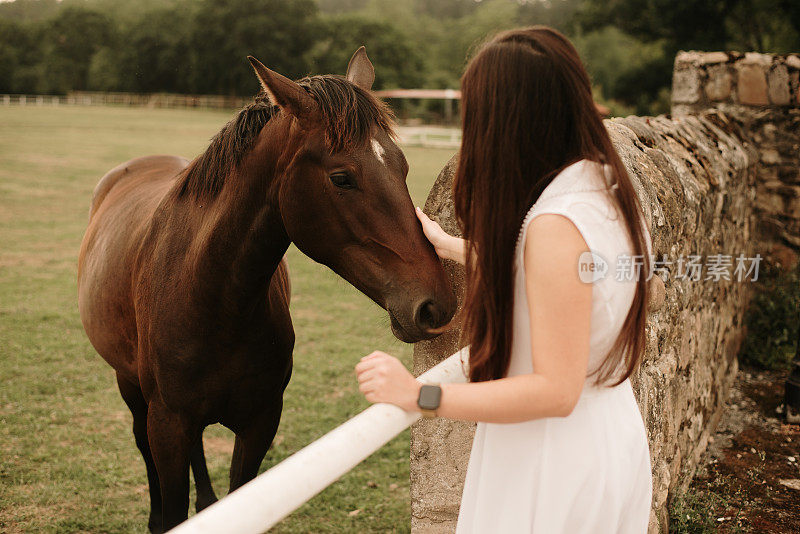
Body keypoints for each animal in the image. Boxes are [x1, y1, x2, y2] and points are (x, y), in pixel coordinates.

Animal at [81, 48, 460, 532]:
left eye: (403, 166)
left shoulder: (260, 423)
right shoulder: (167, 425)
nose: (436, 305)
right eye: (341, 178)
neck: (209, 301)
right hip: (130, 388)